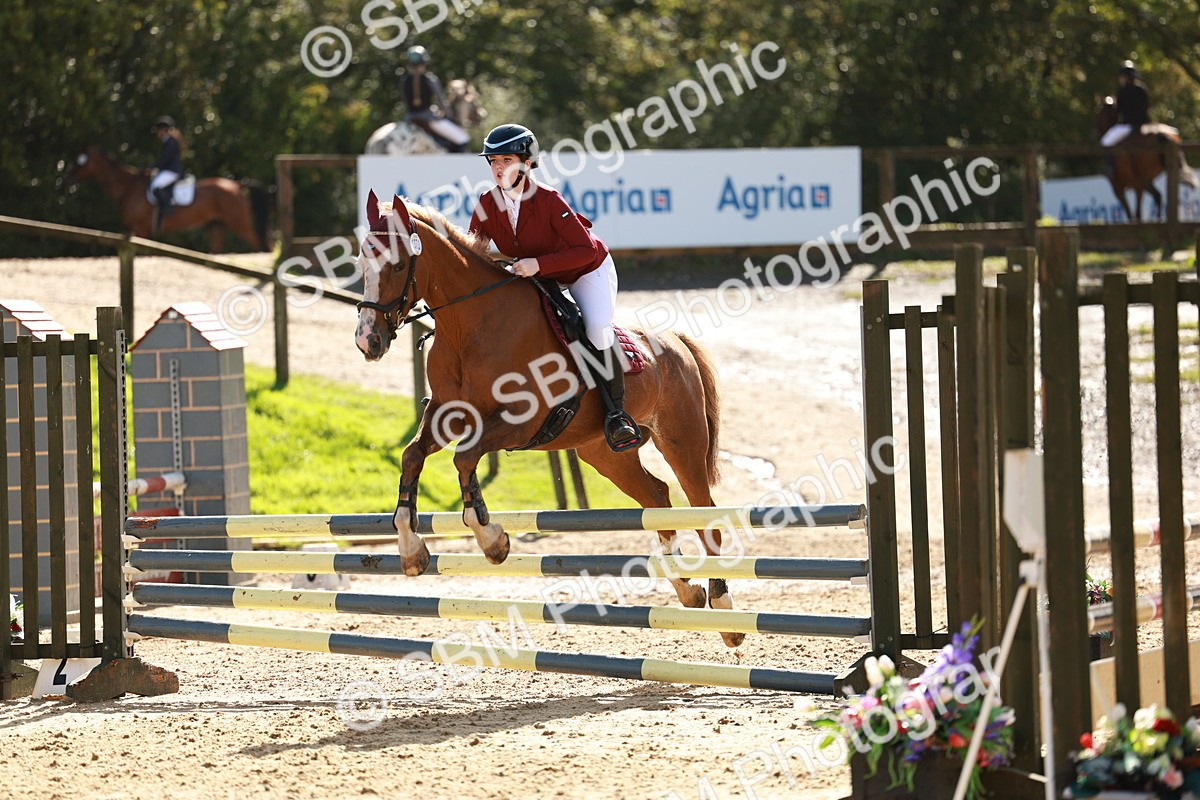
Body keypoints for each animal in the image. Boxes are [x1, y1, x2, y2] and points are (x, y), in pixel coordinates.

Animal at [67, 146, 271, 252]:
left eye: (81, 162)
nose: (68, 177)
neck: (129, 186)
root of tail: (236, 184)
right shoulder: (134, 230)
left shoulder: (141, 228)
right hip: (216, 226)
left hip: (239, 224)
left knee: (259, 245)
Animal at [353, 192, 744, 648]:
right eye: (362, 261)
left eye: (398, 265)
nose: (368, 341)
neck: (470, 326)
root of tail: (675, 342)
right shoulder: (448, 413)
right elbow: (412, 456)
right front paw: (412, 551)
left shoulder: (519, 420)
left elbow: (464, 459)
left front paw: (493, 541)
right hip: (605, 453)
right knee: (658, 497)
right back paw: (687, 589)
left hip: (683, 442)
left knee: (703, 512)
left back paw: (724, 609)